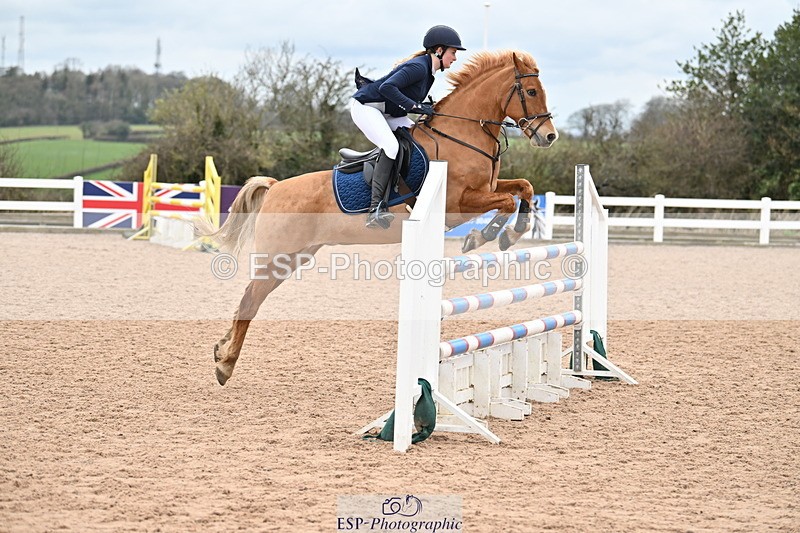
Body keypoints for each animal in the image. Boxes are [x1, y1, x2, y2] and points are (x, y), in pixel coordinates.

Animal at [210, 50, 558, 386]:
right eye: (531, 91)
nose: (549, 137)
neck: (462, 134)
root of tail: (275, 187)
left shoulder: (485, 190)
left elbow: (523, 188)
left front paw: (512, 233)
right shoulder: (459, 203)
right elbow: (506, 202)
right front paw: (483, 237)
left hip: (294, 257)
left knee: (251, 298)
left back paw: (221, 349)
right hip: (278, 256)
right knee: (250, 300)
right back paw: (226, 365)